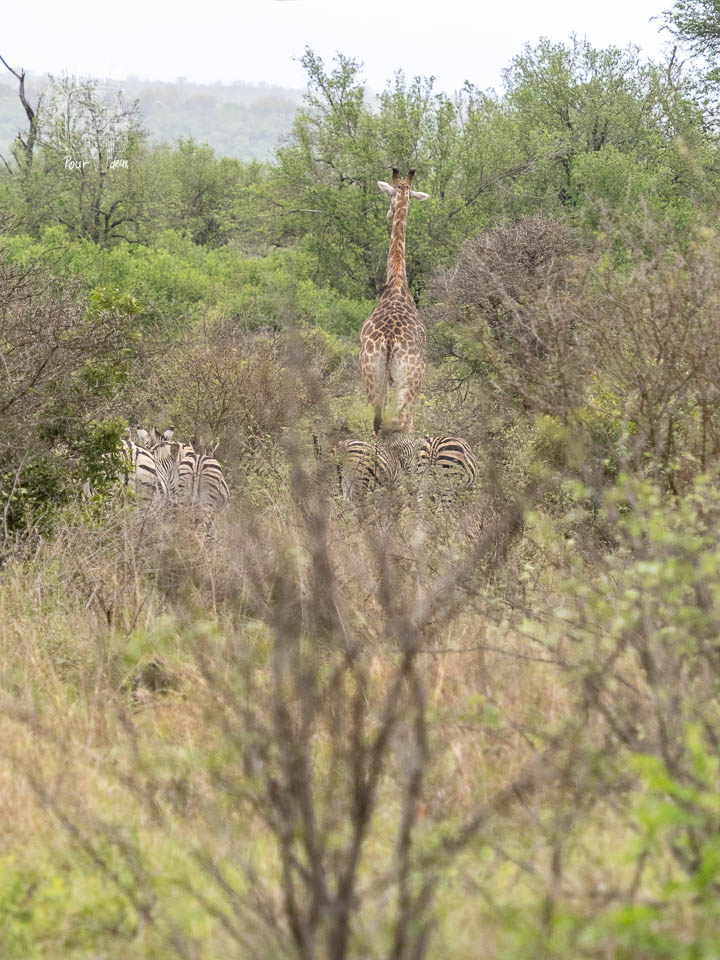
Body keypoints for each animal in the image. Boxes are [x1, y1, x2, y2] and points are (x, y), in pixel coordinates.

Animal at [360, 168, 429, 435]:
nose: (389, 213)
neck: (397, 279)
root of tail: (389, 341)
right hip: (408, 381)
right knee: (404, 421)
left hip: (372, 374)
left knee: (379, 422)